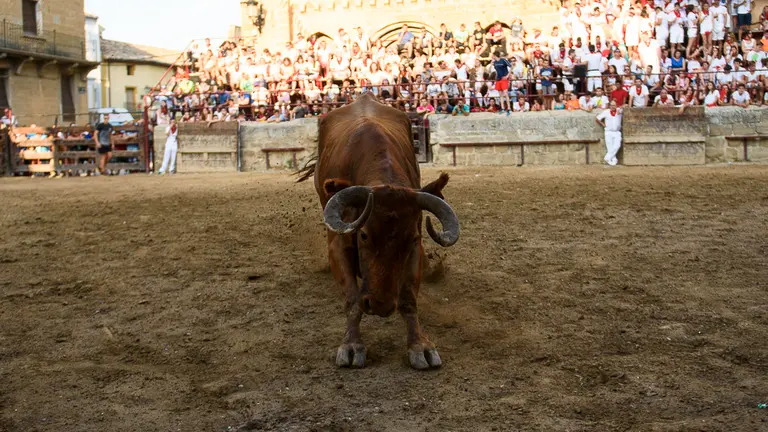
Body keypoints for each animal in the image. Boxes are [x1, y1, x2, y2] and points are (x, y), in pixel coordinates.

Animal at [296, 93, 460, 370]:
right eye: (363, 235)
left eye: (411, 239)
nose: (381, 306)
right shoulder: (338, 245)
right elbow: (352, 300)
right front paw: (352, 345)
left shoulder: (415, 250)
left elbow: (408, 299)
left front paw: (419, 346)